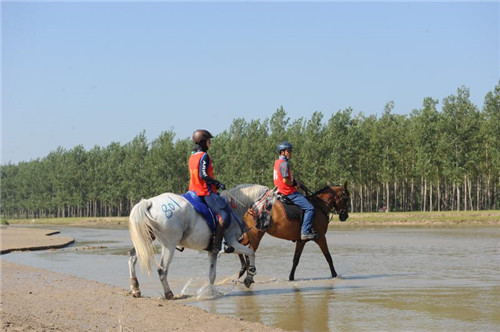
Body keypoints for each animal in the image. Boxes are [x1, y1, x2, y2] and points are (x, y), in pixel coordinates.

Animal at [128, 183, 270, 300]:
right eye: (269, 205)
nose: (265, 225)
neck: (234, 208)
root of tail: (149, 202)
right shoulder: (232, 243)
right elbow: (251, 252)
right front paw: (249, 277)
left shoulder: (213, 251)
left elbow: (212, 274)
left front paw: (211, 292)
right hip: (169, 245)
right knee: (162, 269)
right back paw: (169, 294)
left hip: (147, 238)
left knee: (132, 257)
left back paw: (135, 288)